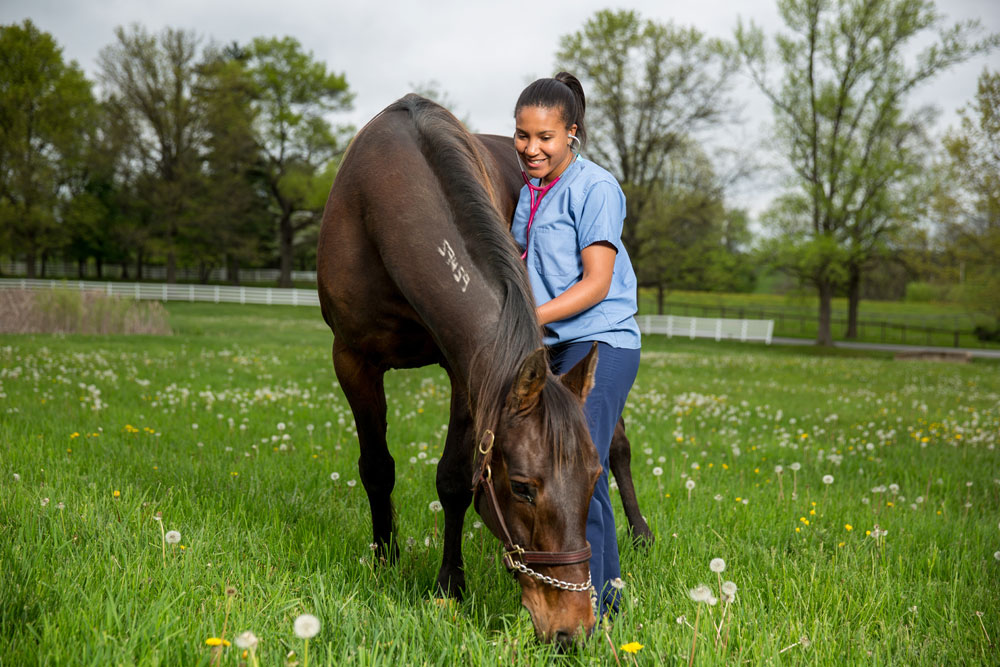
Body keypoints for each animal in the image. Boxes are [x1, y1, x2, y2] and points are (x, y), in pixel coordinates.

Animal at [316, 96, 652, 644]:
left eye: (589, 480)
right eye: (521, 488)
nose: (572, 628)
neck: (380, 197)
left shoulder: (467, 371)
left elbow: (454, 479)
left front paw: (449, 586)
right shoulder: (352, 359)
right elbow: (377, 468)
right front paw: (386, 560)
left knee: (619, 444)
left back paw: (641, 535)